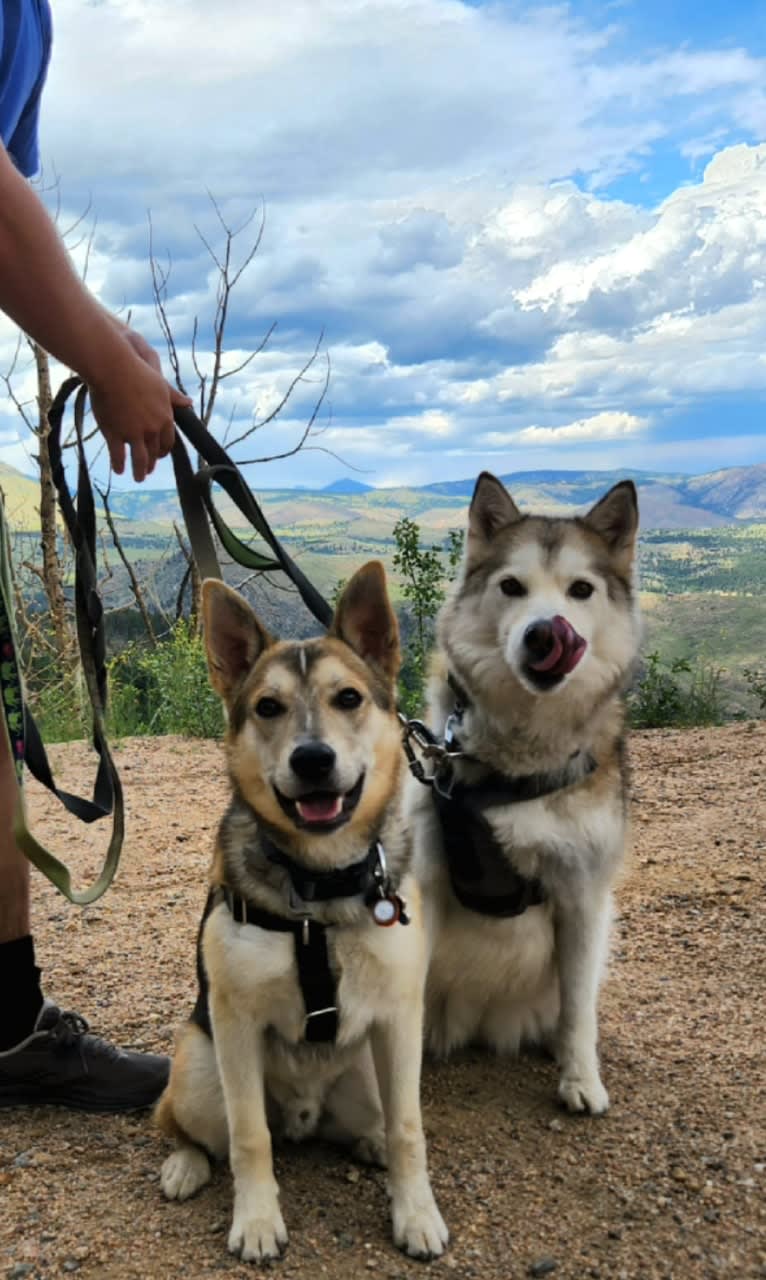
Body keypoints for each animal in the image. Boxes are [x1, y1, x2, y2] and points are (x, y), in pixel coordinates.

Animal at [158, 565, 450, 1264]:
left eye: (348, 698)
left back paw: (369, 1145)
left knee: (375, 1122)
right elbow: (249, 1138)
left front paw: (415, 1213)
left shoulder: (400, 1019)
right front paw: (258, 1221)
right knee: (189, 1126)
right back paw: (185, 1163)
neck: (319, 882)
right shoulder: (234, 1025)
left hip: (368, 1072)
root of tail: (305, 1113)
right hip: (198, 1067)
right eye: (268, 707)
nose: (312, 759)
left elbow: (409, 1128)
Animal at [415, 476, 643, 1116]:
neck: (517, 765)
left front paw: (581, 1080)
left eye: (580, 590)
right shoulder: (425, 883)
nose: (546, 630)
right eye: (512, 586)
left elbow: (579, 1011)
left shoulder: (583, 894)